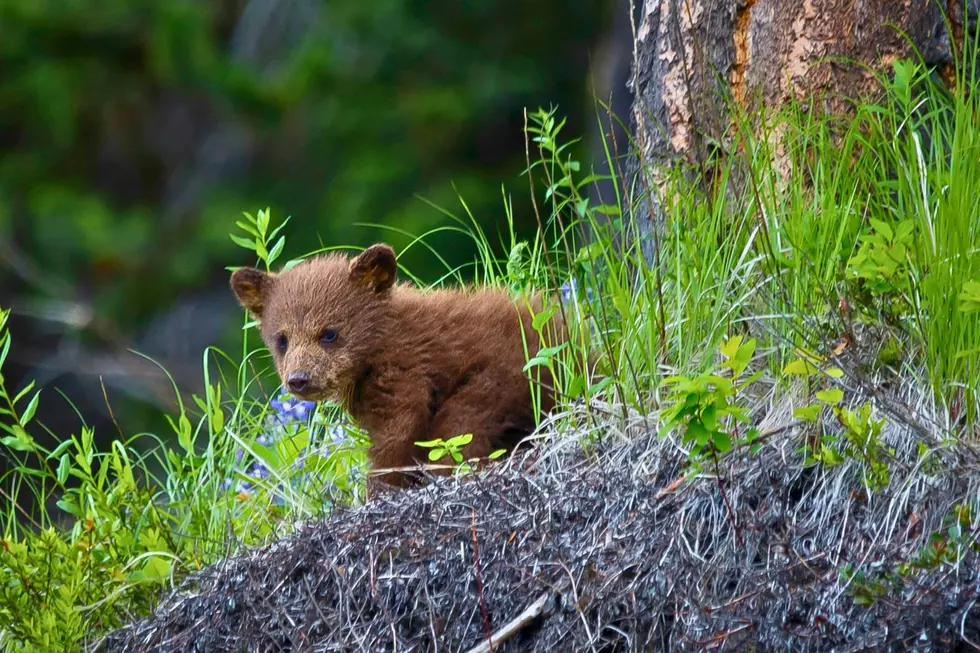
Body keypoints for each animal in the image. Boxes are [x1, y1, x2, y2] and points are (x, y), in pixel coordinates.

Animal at [229, 243, 571, 494]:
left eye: (328, 333)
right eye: (281, 339)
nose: (299, 379)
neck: (378, 344)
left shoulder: (405, 369)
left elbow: (398, 432)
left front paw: (379, 490)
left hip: (504, 377)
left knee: (459, 427)